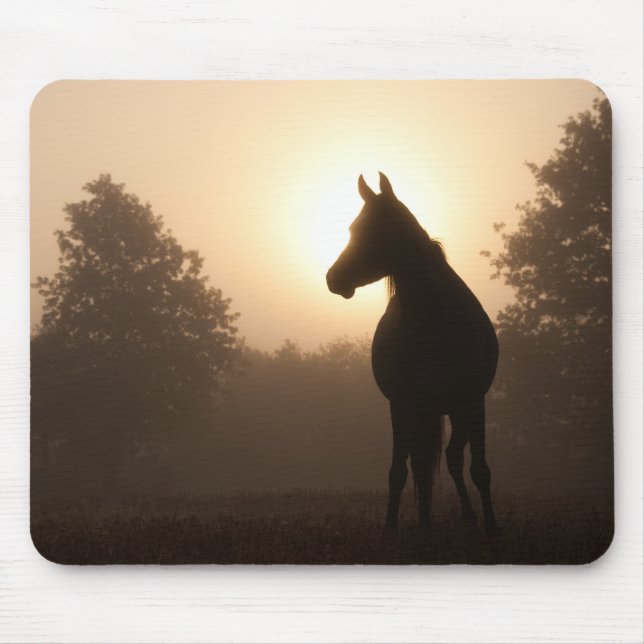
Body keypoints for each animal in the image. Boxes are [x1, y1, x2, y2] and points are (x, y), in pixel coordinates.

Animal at [326, 173, 498, 534]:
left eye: (375, 229)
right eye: (352, 228)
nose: (333, 278)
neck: (435, 321)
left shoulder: (473, 401)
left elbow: (479, 469)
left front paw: (492, 529)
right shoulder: (402, 404)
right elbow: (399, 471)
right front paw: (391, 530)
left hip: (456, 410)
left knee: (452, 457)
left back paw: (465, 518)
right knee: (426, 463)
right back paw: (427, 523)